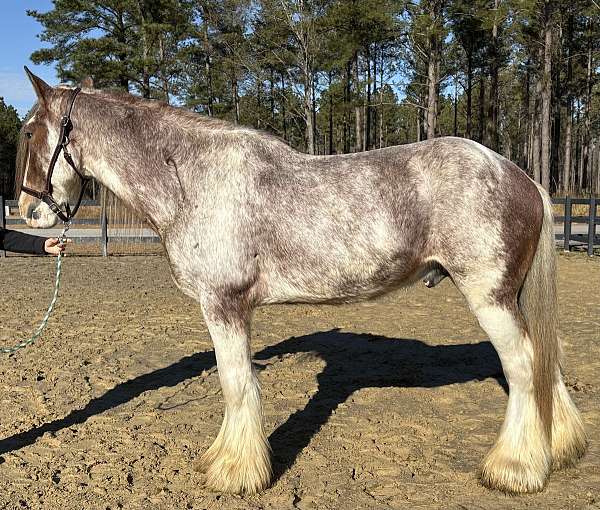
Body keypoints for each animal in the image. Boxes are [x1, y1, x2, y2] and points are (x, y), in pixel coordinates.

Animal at [15, 69, 584, 496]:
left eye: (27, 131)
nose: (28, 211)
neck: (192, 179)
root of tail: (519, 175)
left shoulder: (223, 305)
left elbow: (236, 383)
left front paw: (235, 472)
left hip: (490, 299)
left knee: (523, 366)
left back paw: (515, 468)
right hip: (515, 299)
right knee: (545, 359)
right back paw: (561, 448)